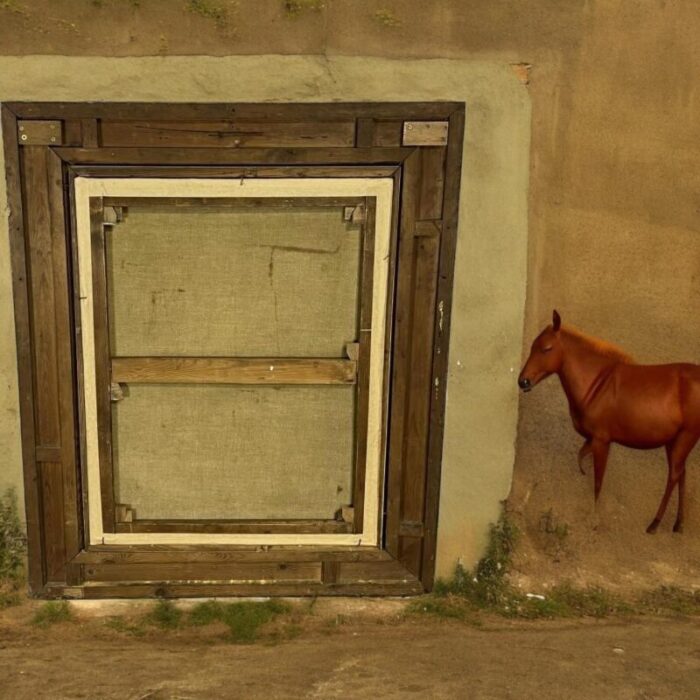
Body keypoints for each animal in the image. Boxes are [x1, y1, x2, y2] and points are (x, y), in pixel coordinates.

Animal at [516, 308, 700, 532]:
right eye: (532, 346)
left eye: (546, 348)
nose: (523, 381)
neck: (596, 383)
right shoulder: (592, 440)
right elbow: (583, 459)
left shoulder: (602, 440)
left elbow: (597, 481)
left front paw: (594, 519)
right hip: (673, 441)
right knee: (682, 474)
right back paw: (678, 524)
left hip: (686, 437)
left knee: (674, 475)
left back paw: (654, 524)